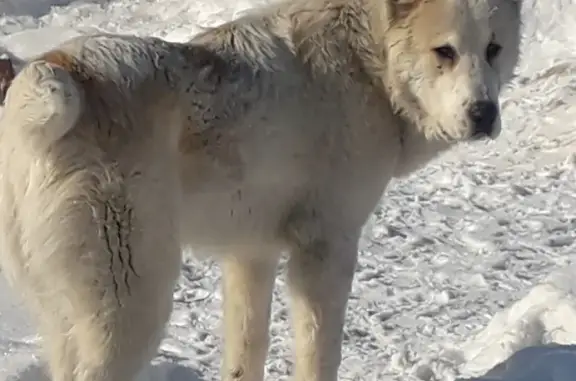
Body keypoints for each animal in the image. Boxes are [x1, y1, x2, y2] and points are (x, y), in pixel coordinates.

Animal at [0, 0, 520, 380]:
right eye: (444, 52)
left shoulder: (250, 255)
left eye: (494, 48)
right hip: (130, 307)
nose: (483, 114)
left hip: (66, 312)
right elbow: (319, 353)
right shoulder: (325, 249)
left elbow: (247, 348)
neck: (366, 63)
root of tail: (53, 69)